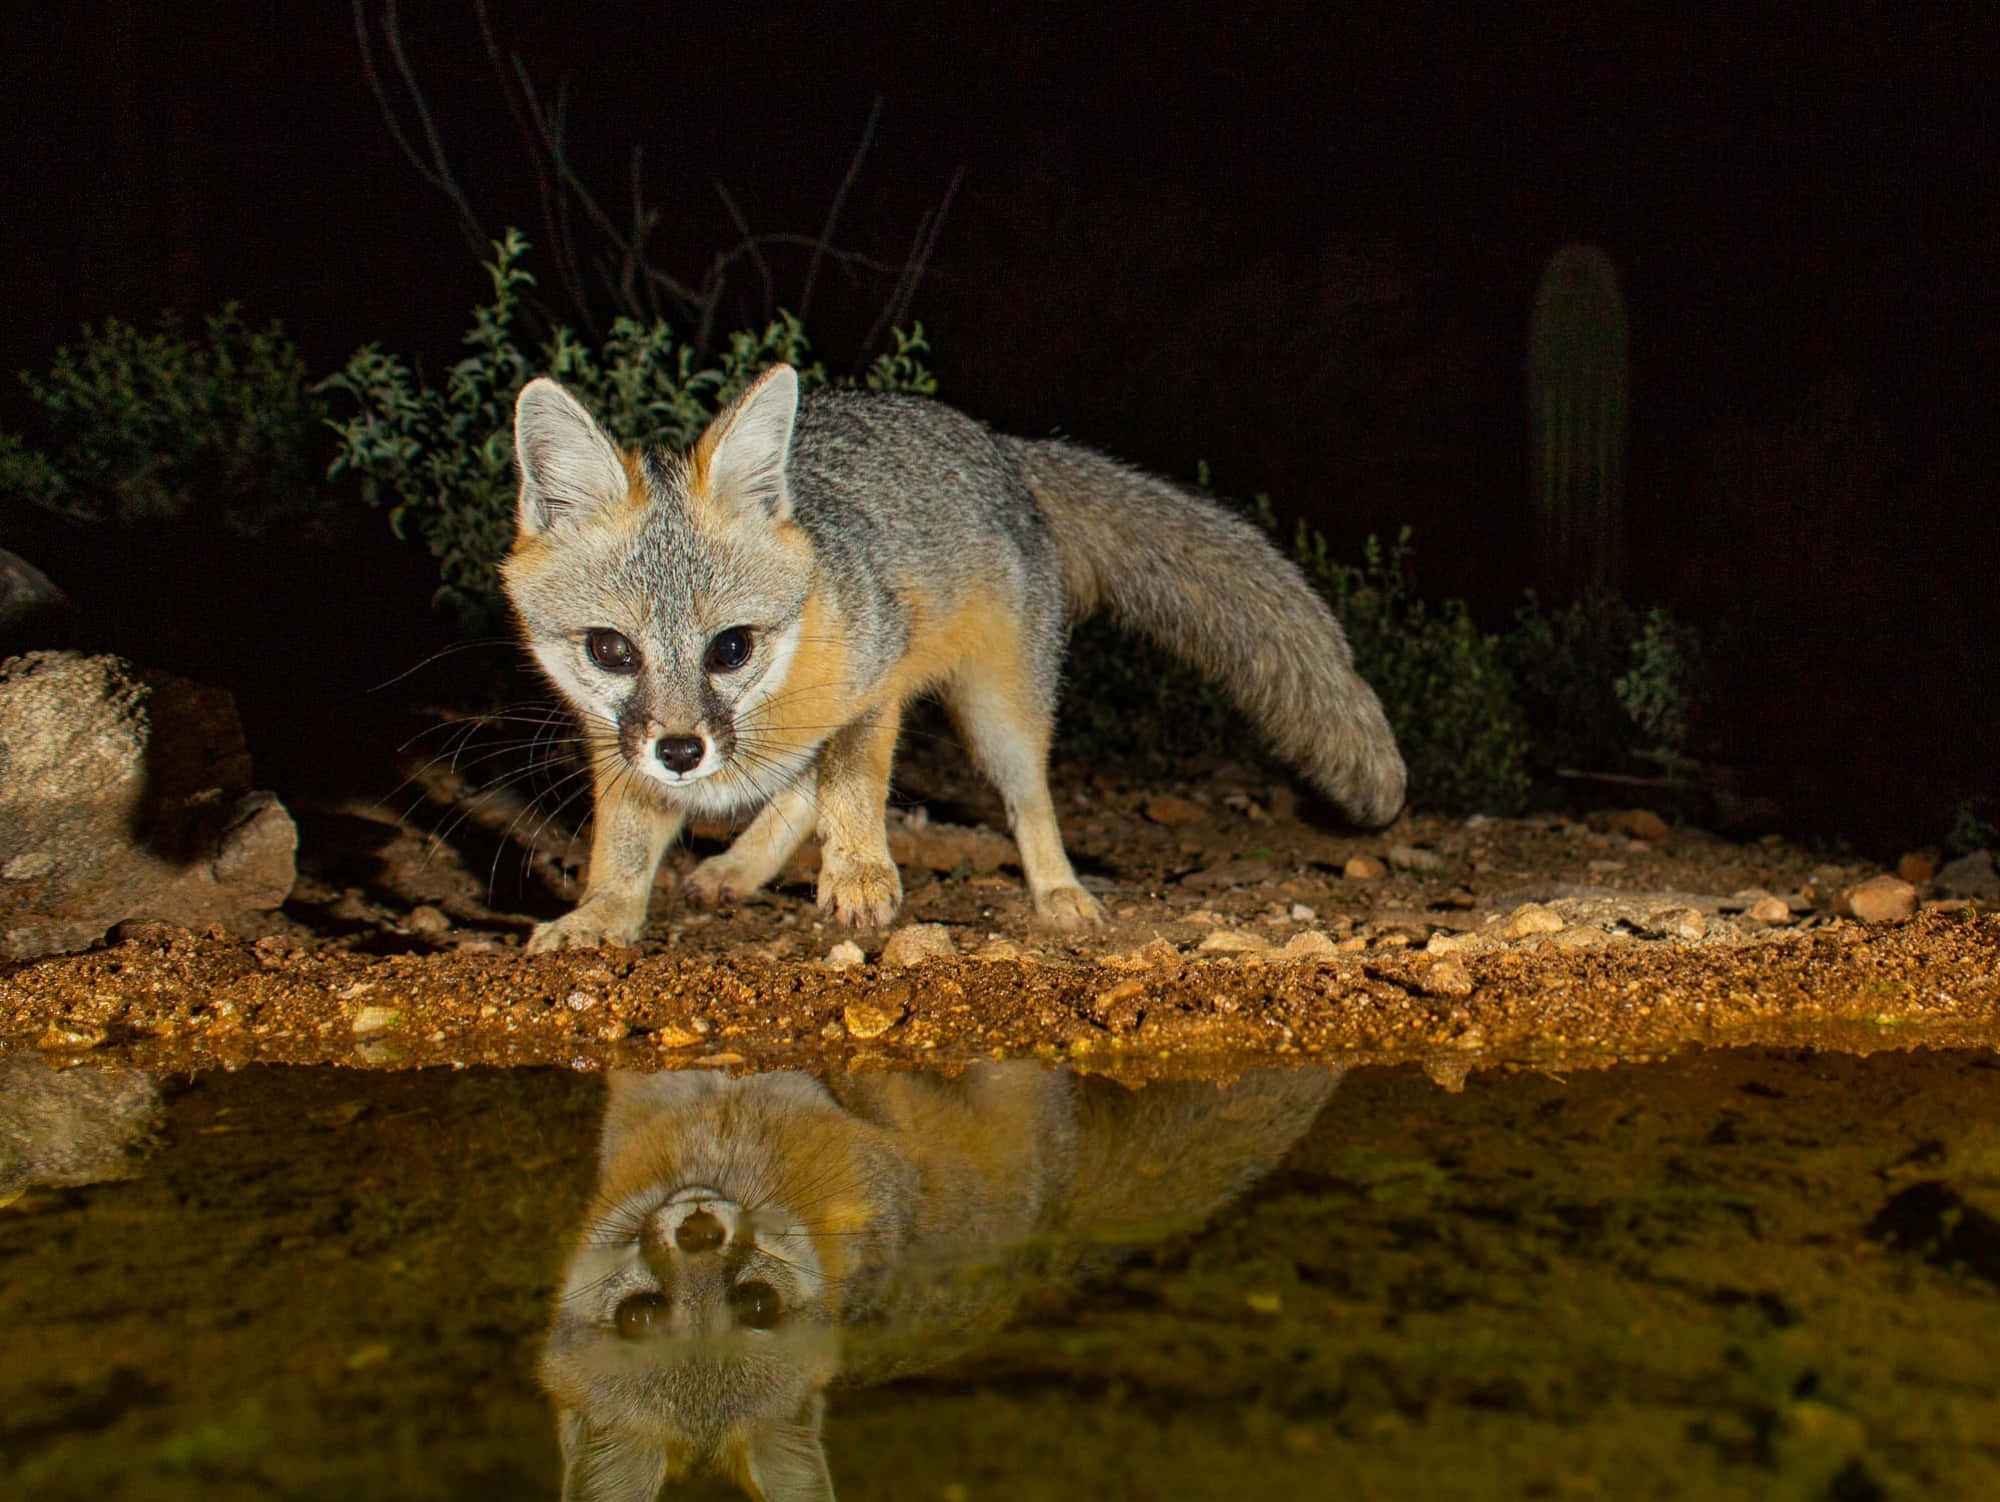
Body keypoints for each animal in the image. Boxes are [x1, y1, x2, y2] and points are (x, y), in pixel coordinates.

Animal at [503, 366, 1405, 952]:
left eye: (731, 647)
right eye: (611, 650)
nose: (682, 751)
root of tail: (1001, 444)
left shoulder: (875, 682)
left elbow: (850, 781)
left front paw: (859, 870)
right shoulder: (620, 750)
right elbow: (624, 848)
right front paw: (600, 917)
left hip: (999, 717)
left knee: (1028, 800)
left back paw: (1059, 892)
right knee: (793, 789)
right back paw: (738, 867)